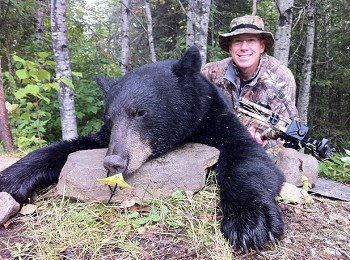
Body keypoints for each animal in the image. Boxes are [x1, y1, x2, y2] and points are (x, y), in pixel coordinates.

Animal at [0, 46, 284, 250]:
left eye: (140, 113)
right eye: (110, 117)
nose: (114, 161)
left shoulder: (217, 119)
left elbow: (248, 157)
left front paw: (250, 221)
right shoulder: (105, 139)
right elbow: (68, 147)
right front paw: (12, 178)